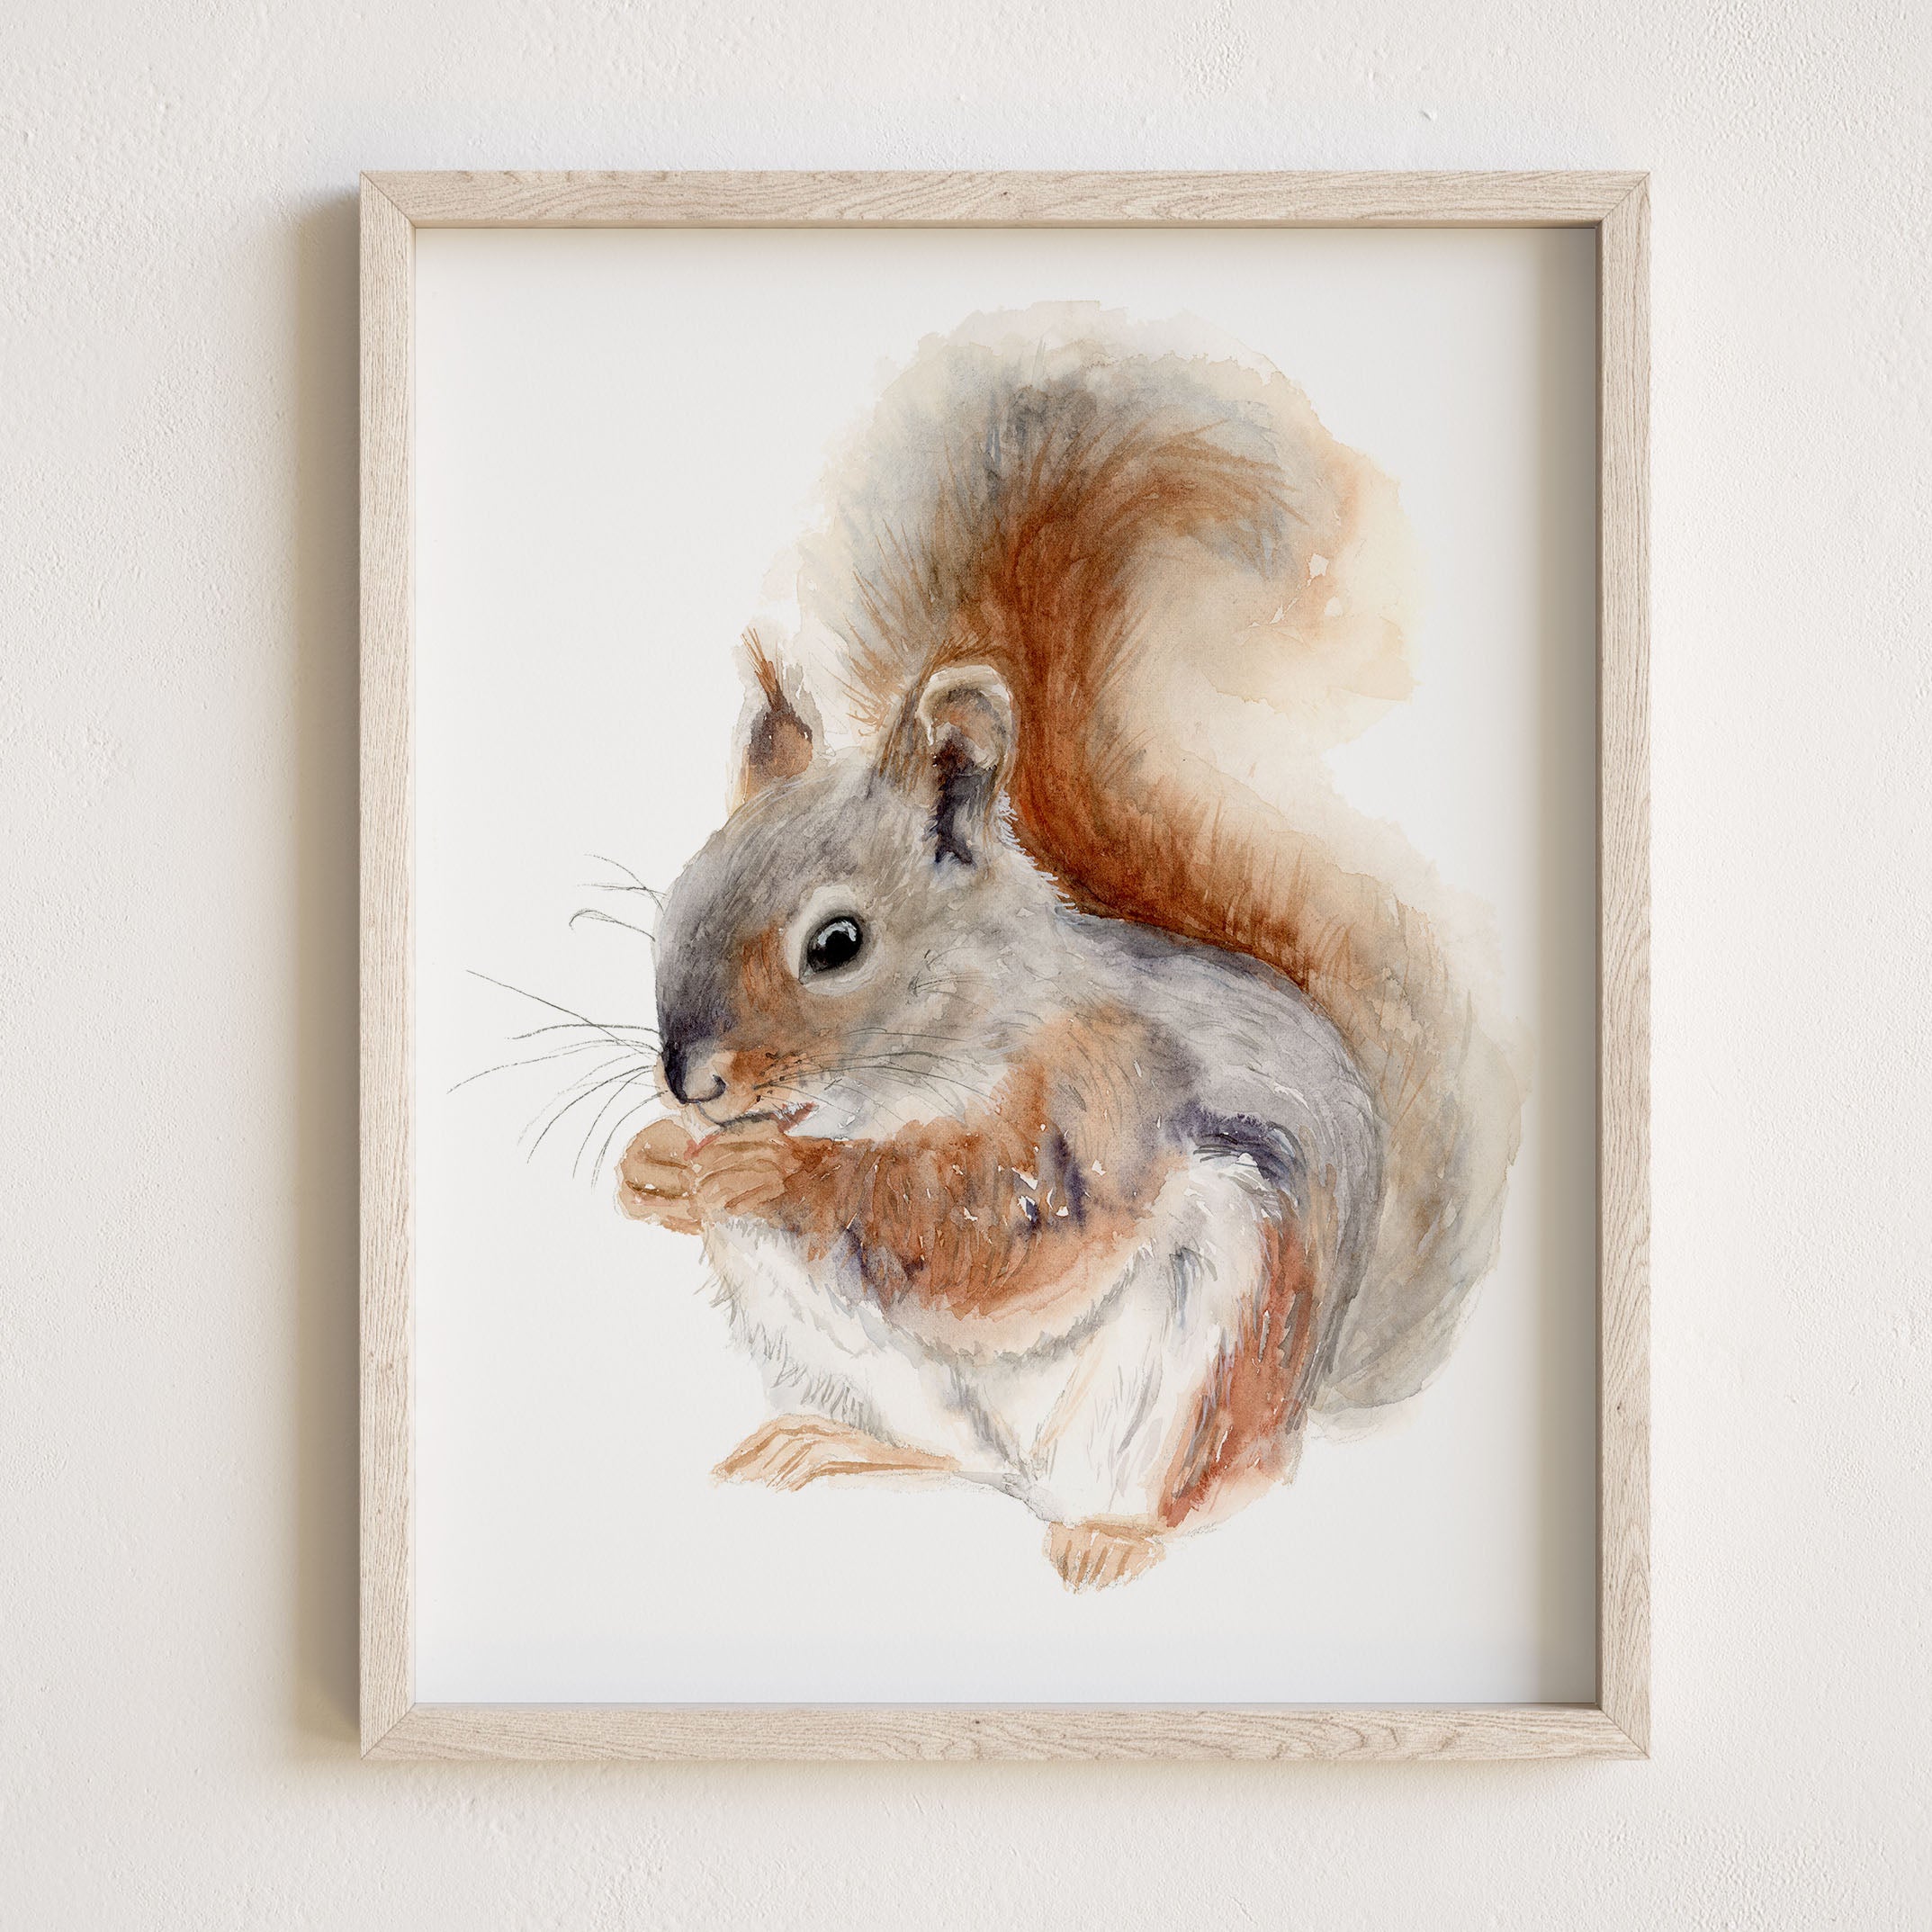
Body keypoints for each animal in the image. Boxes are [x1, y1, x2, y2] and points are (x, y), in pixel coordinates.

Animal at [615, 306, 1523, 1591]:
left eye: (836, 942)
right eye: (674, 904)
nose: (689, 1082)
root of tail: (1306, 1399)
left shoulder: (1103, 1093)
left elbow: (994, 1227)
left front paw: (771, 1174)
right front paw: (654, 1164)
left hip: (1217, 1325)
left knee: (1170, 1485)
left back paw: (1115, 1536)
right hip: (880, 1374)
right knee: (955, 1456)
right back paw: (837, 1443)